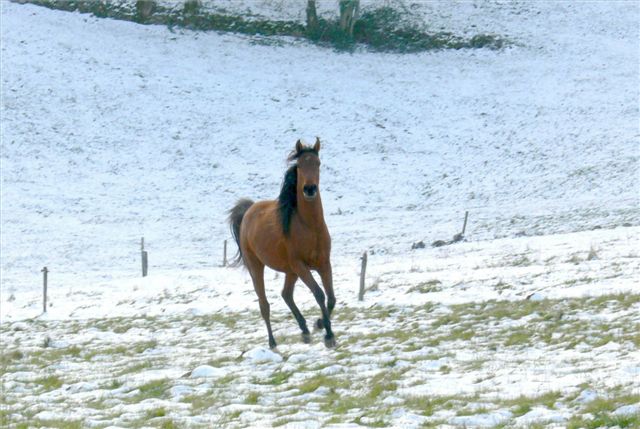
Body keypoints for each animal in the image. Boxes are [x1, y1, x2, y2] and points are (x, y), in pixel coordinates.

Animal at [229, 138, 338, 348]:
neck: (310, 227)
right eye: (300, 165)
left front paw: (320, 324)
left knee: (286, 294)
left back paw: (305, 330)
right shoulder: (301, 265)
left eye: (318, 163)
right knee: (264, 304)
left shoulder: (324, 263)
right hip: (258, 267)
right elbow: (319, 293)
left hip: (290, 271)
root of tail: (248, 211)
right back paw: (272, 342)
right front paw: (328, 334)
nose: (309, 189)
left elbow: (331, 298)